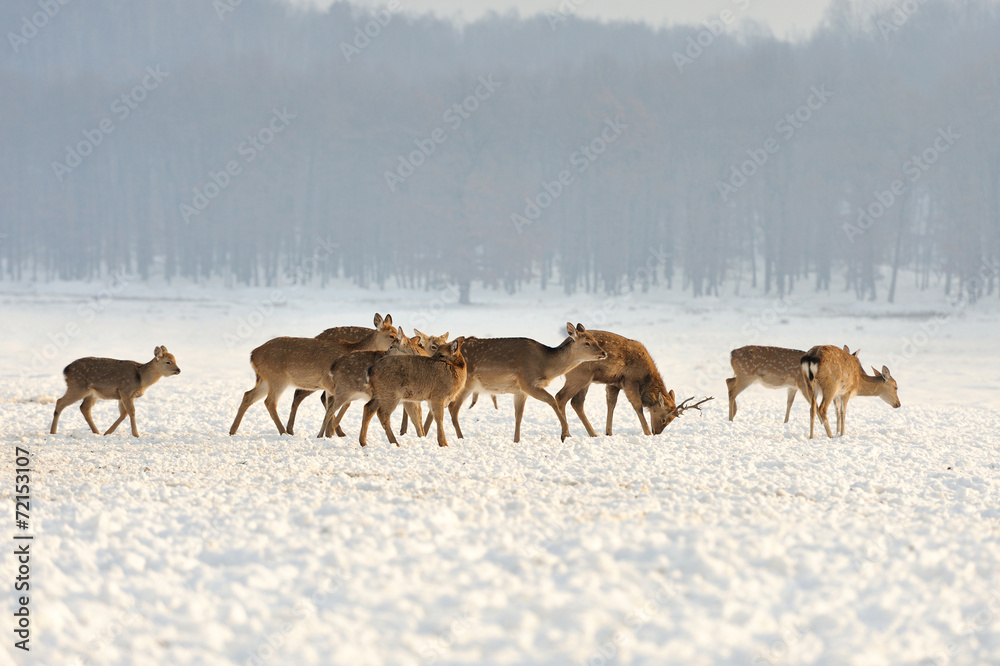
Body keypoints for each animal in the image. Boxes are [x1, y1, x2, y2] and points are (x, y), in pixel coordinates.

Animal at [49, 344, 182, 438]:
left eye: (175, 360)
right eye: (168, 362)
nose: (178, 370)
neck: (141, 379)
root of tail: (66, 370)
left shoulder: (123, 395)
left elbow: (124, 413)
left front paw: (108, 432)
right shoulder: (125, 390)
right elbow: (131, 411)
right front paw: (136, 434)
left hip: (91, 393)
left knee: (84, 408)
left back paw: (97, 432)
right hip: (77, 387)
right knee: (60, 402)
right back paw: (53, 431)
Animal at [229, 314, 396, 434]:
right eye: (391, 335)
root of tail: (253, 355)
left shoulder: (330, 386)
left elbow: (332, 405)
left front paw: (329, 433)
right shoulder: (331, 382)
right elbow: (341, 404)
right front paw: (332, 431)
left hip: (265, 379)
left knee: (248, 395)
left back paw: (233, 430)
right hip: (277, 378)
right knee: (270, 402)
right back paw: (284, 432)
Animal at [426, 322, 604, 440]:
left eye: (596, 340)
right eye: (587, 343)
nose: (604, 353)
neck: (545, 365)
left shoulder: (520, 390)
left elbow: (519, 415)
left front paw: (516, 440)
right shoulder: (528, 381)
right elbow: (552, 400)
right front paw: (565, 433)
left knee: (443, 407)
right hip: (465, 383)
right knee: (452, 408)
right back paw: (459, 437)